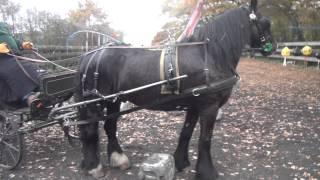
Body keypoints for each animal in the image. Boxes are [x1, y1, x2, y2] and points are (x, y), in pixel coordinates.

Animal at [74, 0, 272, 179]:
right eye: (266, 23)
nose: (272, 47)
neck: (209, 55)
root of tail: (88, 56)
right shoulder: (209, 106)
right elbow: (205, 139)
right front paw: (207, 172)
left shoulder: (194, 105)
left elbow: (186, 133)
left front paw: (180, 162)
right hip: (95, 103)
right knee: (91, 130)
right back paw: (94, 166)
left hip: (114, 100)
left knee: (109, 126)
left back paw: (118, 158)